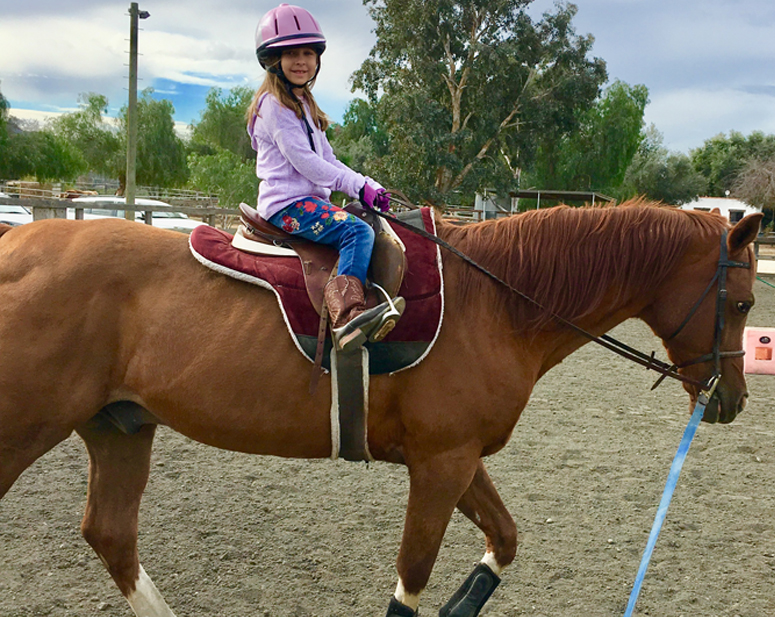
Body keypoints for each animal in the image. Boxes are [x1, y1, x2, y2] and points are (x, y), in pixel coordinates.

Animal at [0, 200, 761, 617]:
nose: (732, 399)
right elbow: (412, 574)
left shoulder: (457, 459)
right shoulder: (439, 466)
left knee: (111, 534)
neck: (498, 304)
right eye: (745, 303)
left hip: (119, 427)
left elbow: (505, 539)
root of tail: (15, 245)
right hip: (28, 430)